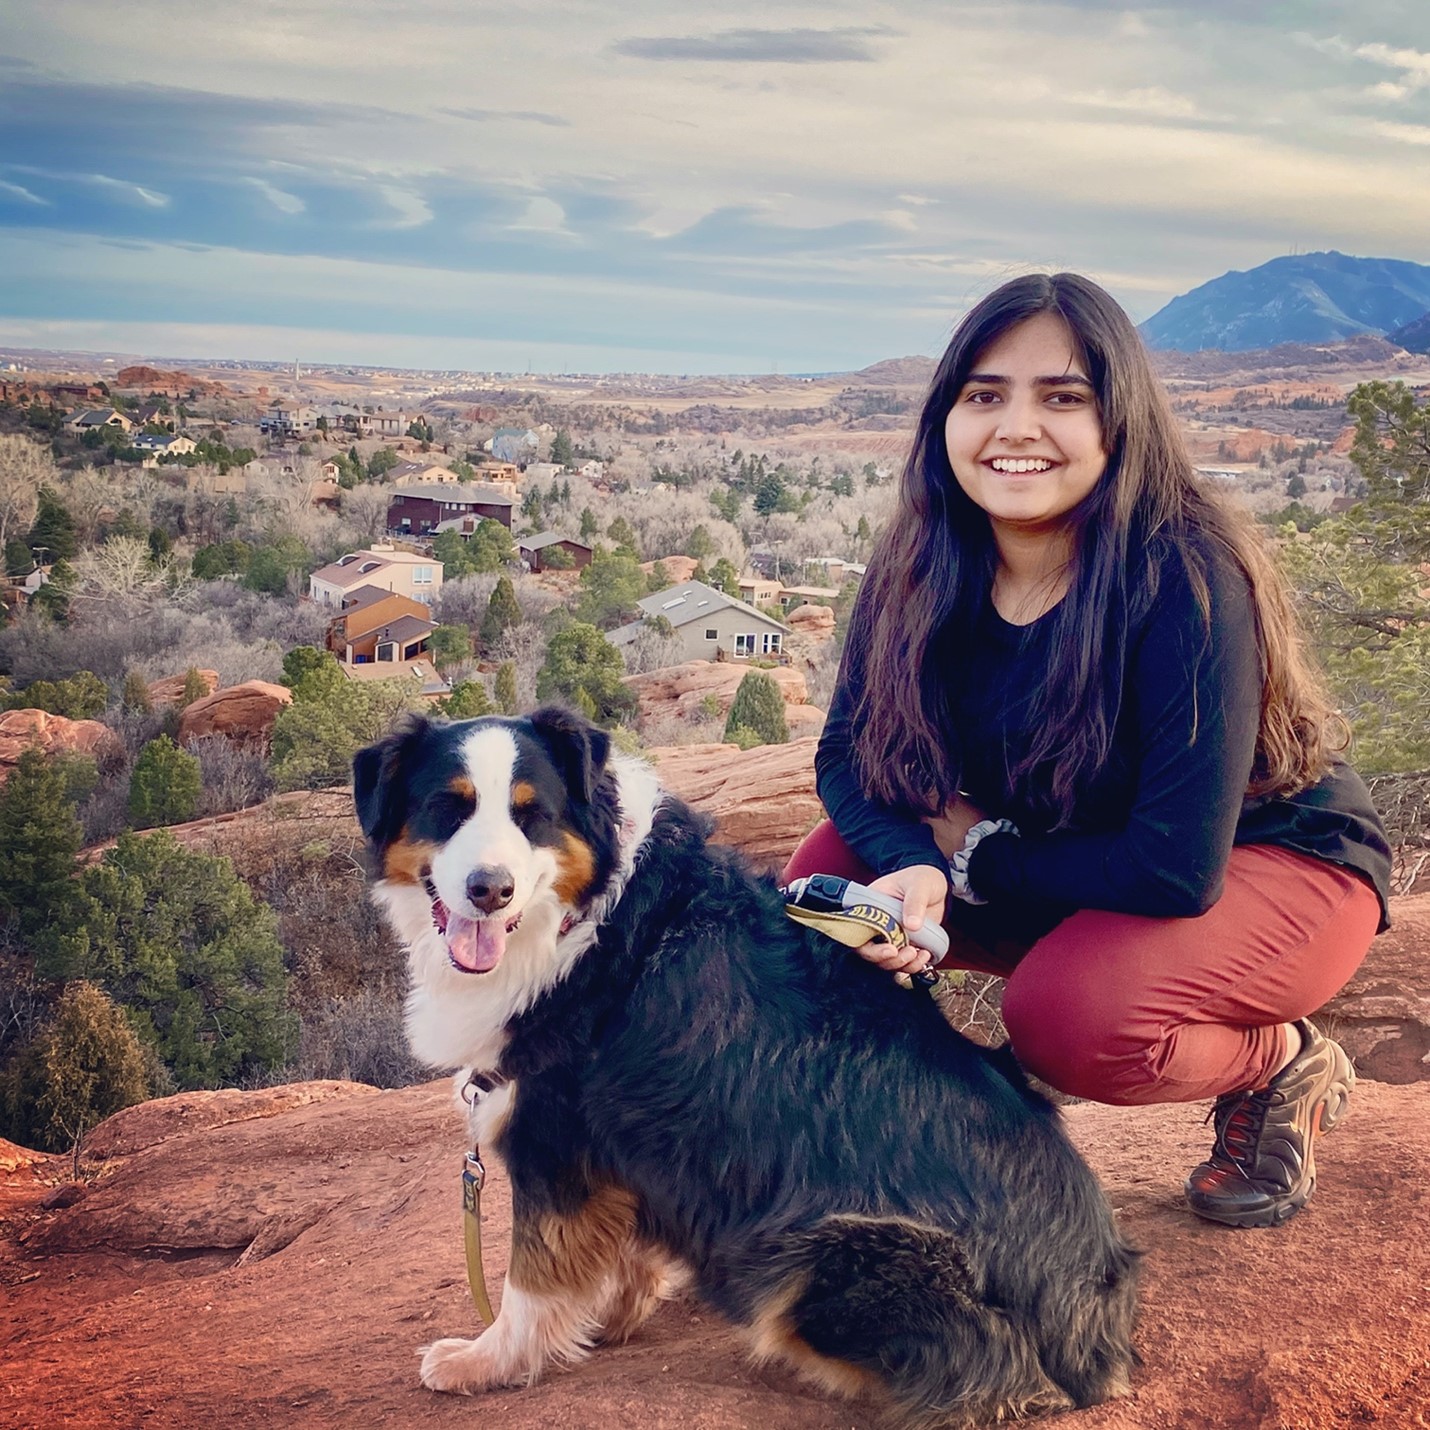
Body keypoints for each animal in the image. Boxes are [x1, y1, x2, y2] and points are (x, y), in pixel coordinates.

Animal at [354, 709, 1138, 1424]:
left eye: (533, 816)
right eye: (446, 807)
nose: (490, 890)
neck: (580, 920)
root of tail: (1094, 1335)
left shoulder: (555, 1134)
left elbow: (530, 1279)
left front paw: (484, 1361)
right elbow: (622, 1242)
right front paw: (612, 1312)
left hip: (826, 1256)